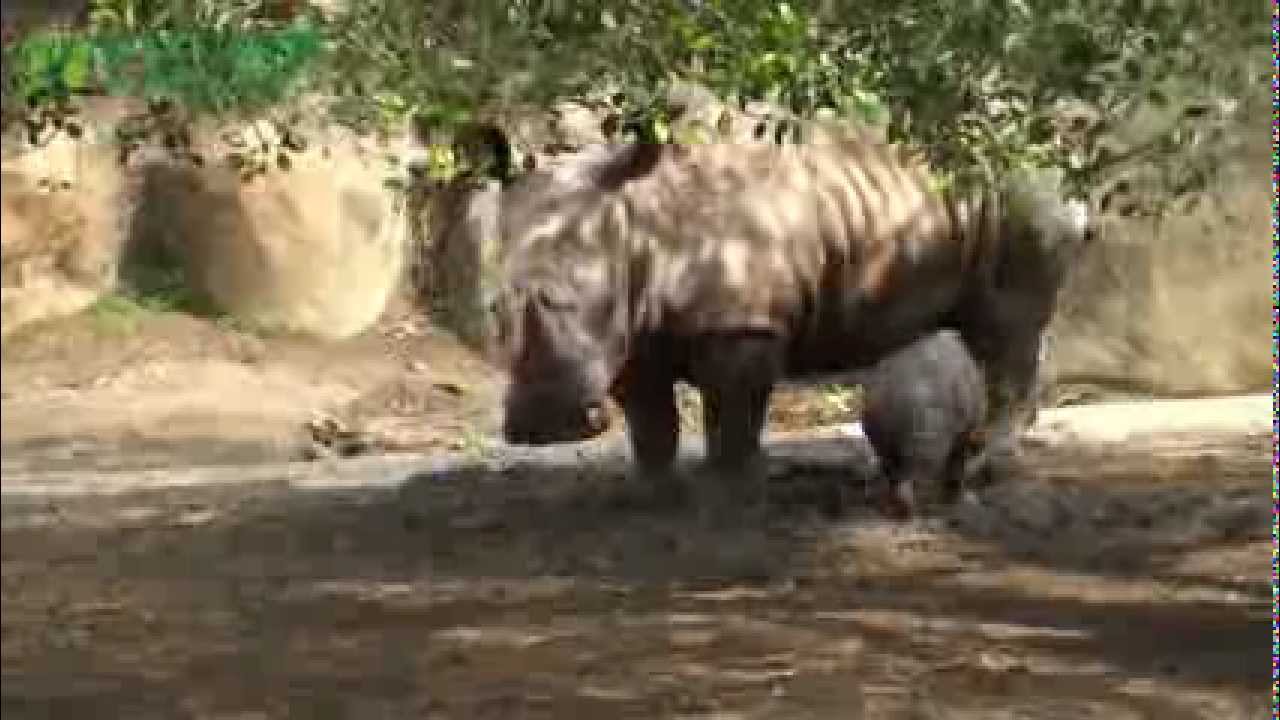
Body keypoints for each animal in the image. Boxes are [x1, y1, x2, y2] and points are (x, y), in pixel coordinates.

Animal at [489, 138, 1096, 522]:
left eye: (566, 302)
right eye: (496, 309)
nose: (543, 429)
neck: (640, 227)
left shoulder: (743, 324)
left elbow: (733, 417)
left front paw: (726, 498)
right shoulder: (633, 333)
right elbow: (651, 422)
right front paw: (650, 496)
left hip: (1021, 203)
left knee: (1008, 328)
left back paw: (994, 466)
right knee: (988, 332)